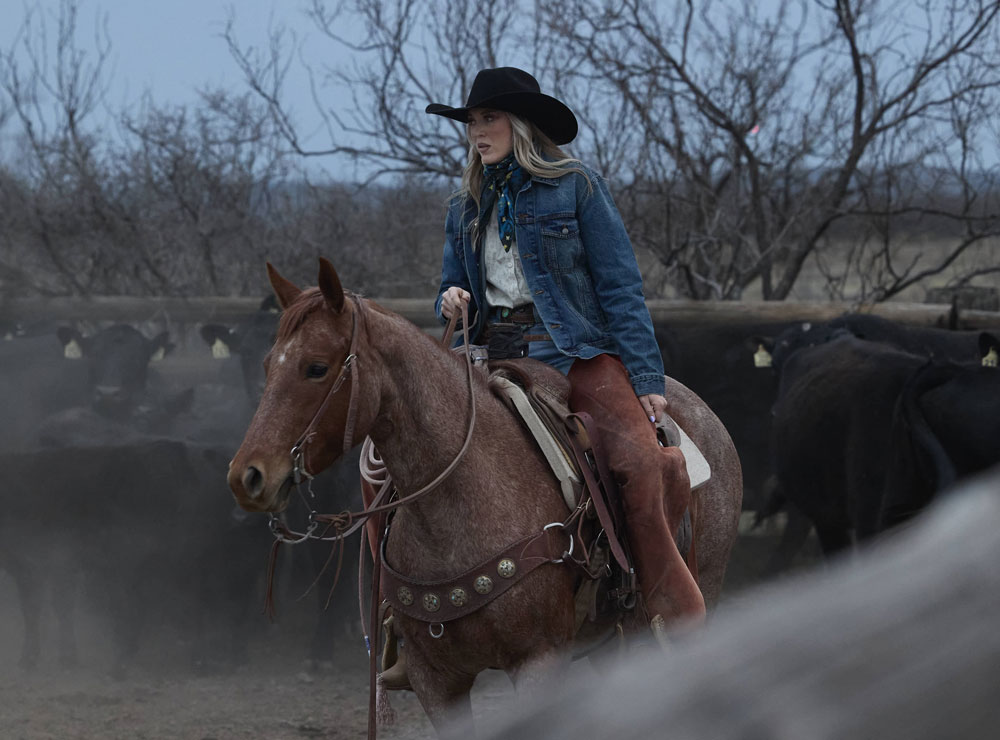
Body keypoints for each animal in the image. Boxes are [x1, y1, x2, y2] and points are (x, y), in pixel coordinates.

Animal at [227, 258, 744, 736]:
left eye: (316, 367)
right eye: (267, 363)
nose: (246, 476)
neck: (459, 506)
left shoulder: (539, 661)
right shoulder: (436, 679)